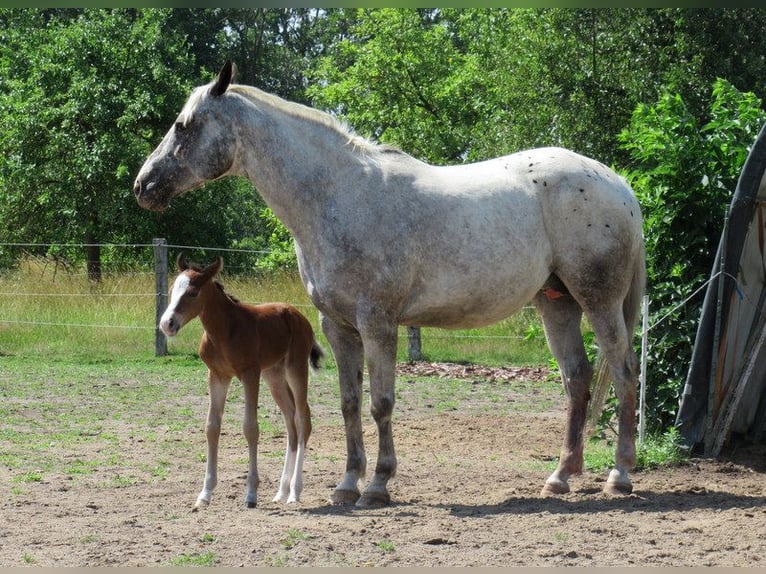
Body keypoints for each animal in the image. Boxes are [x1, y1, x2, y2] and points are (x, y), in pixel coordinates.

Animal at [136, 63, 648, 510]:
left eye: (184, 125)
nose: (143, 185)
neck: (338, 195)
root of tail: (618, 186)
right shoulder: (338, 325)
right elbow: (349, 404)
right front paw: (347, 484)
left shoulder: (377, 321)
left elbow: (381, 403)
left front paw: (378, 485)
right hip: (557, 304)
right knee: (577, 379)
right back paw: (560, 477)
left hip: (599, 301)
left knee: (624, 372)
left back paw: (619, 476)